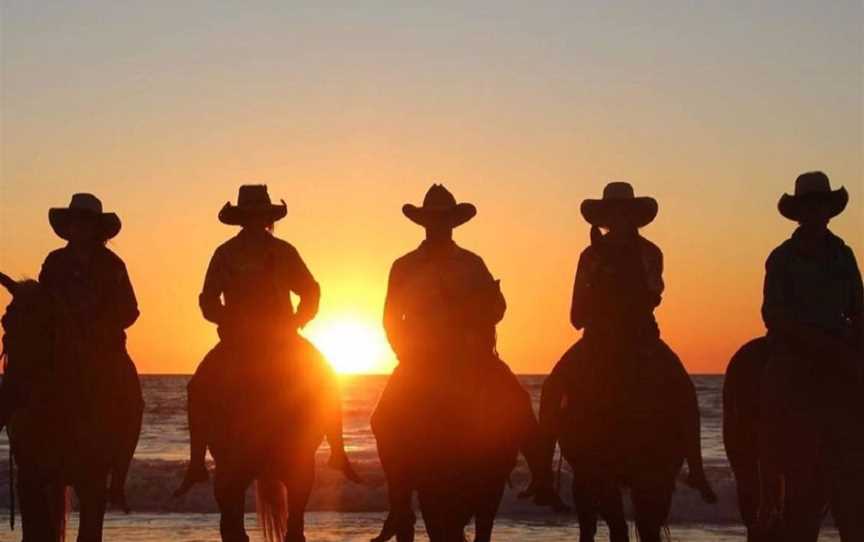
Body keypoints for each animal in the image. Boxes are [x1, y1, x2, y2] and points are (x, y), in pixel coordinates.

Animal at [0, 274, 142, 540]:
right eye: (5, 321)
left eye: (46, 325)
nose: (12, 394)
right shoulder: (30, 479)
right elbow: (38, 531)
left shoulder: (93, 482)